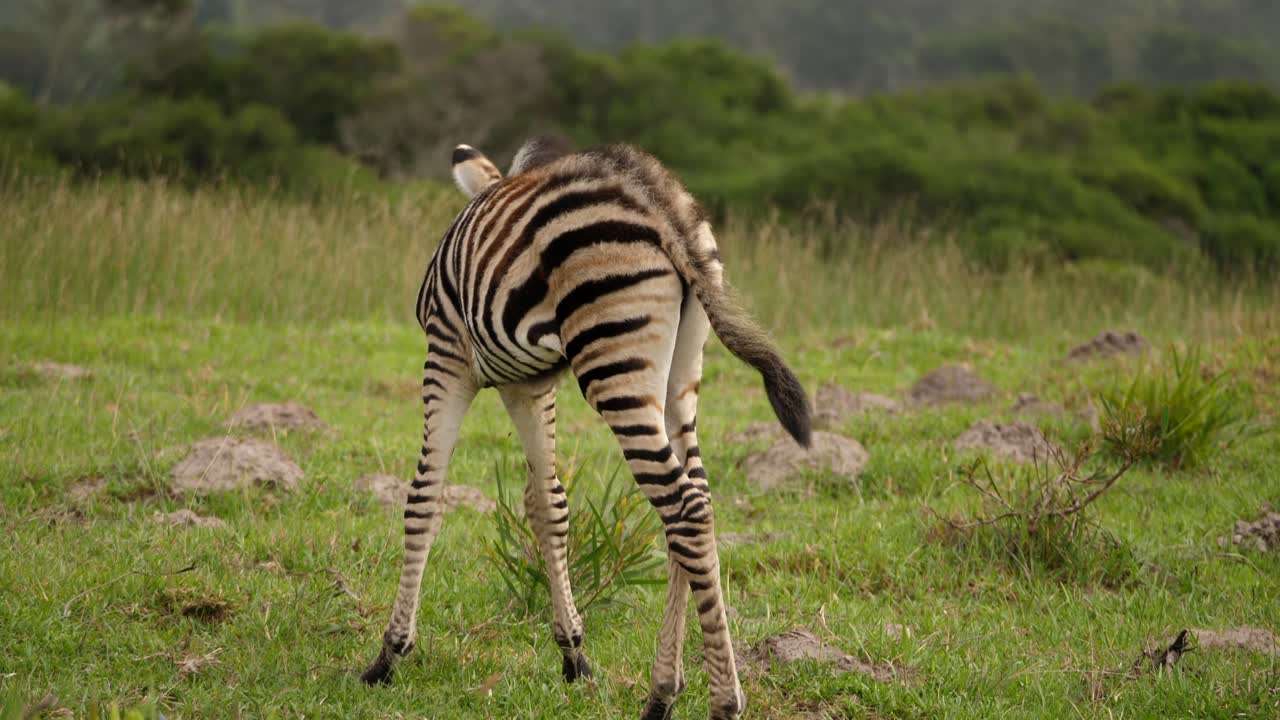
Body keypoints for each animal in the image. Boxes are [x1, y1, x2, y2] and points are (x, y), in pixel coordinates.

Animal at [361, 137, 811, 720]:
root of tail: (658, 199)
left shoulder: (446, 354)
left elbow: (423, 498)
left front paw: (389, 655)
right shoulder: (527, 385)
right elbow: (547, 504)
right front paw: (573, 652)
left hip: (612, 356)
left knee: (684, 509)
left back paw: (720, 701)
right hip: (680, 372)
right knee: (696, 501)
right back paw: (662, 693)